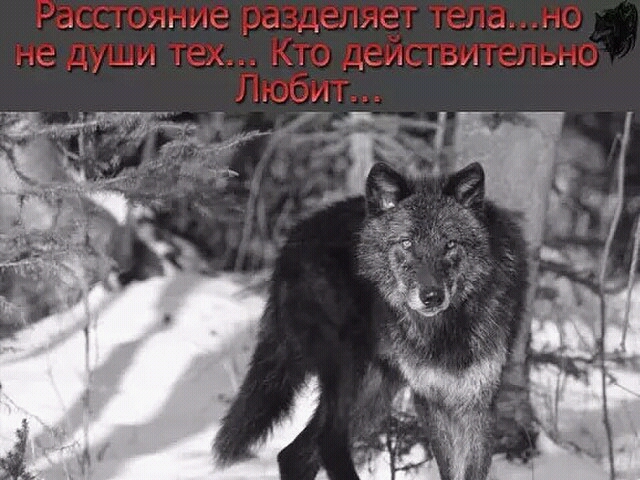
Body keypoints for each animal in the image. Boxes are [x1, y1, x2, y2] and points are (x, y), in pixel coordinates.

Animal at [213, 162, 528, 480]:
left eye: (450, 244)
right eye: (407, 243)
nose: (431, 297)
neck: (446, 330)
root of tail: (291, 243)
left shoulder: (478, 400)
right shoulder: (429, 399)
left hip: (374, 392)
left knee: (295, 453)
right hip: (347, 370)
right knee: (327, 440)